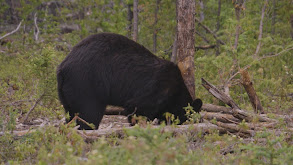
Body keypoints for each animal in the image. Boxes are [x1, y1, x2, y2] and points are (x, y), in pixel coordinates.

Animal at [57, 32, 201, 130]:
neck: (176, 91)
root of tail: (63, 67)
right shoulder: (157, 89)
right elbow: (137, 110)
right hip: (86, 85)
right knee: (89, 115)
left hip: (67, 92)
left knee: (70, 113)